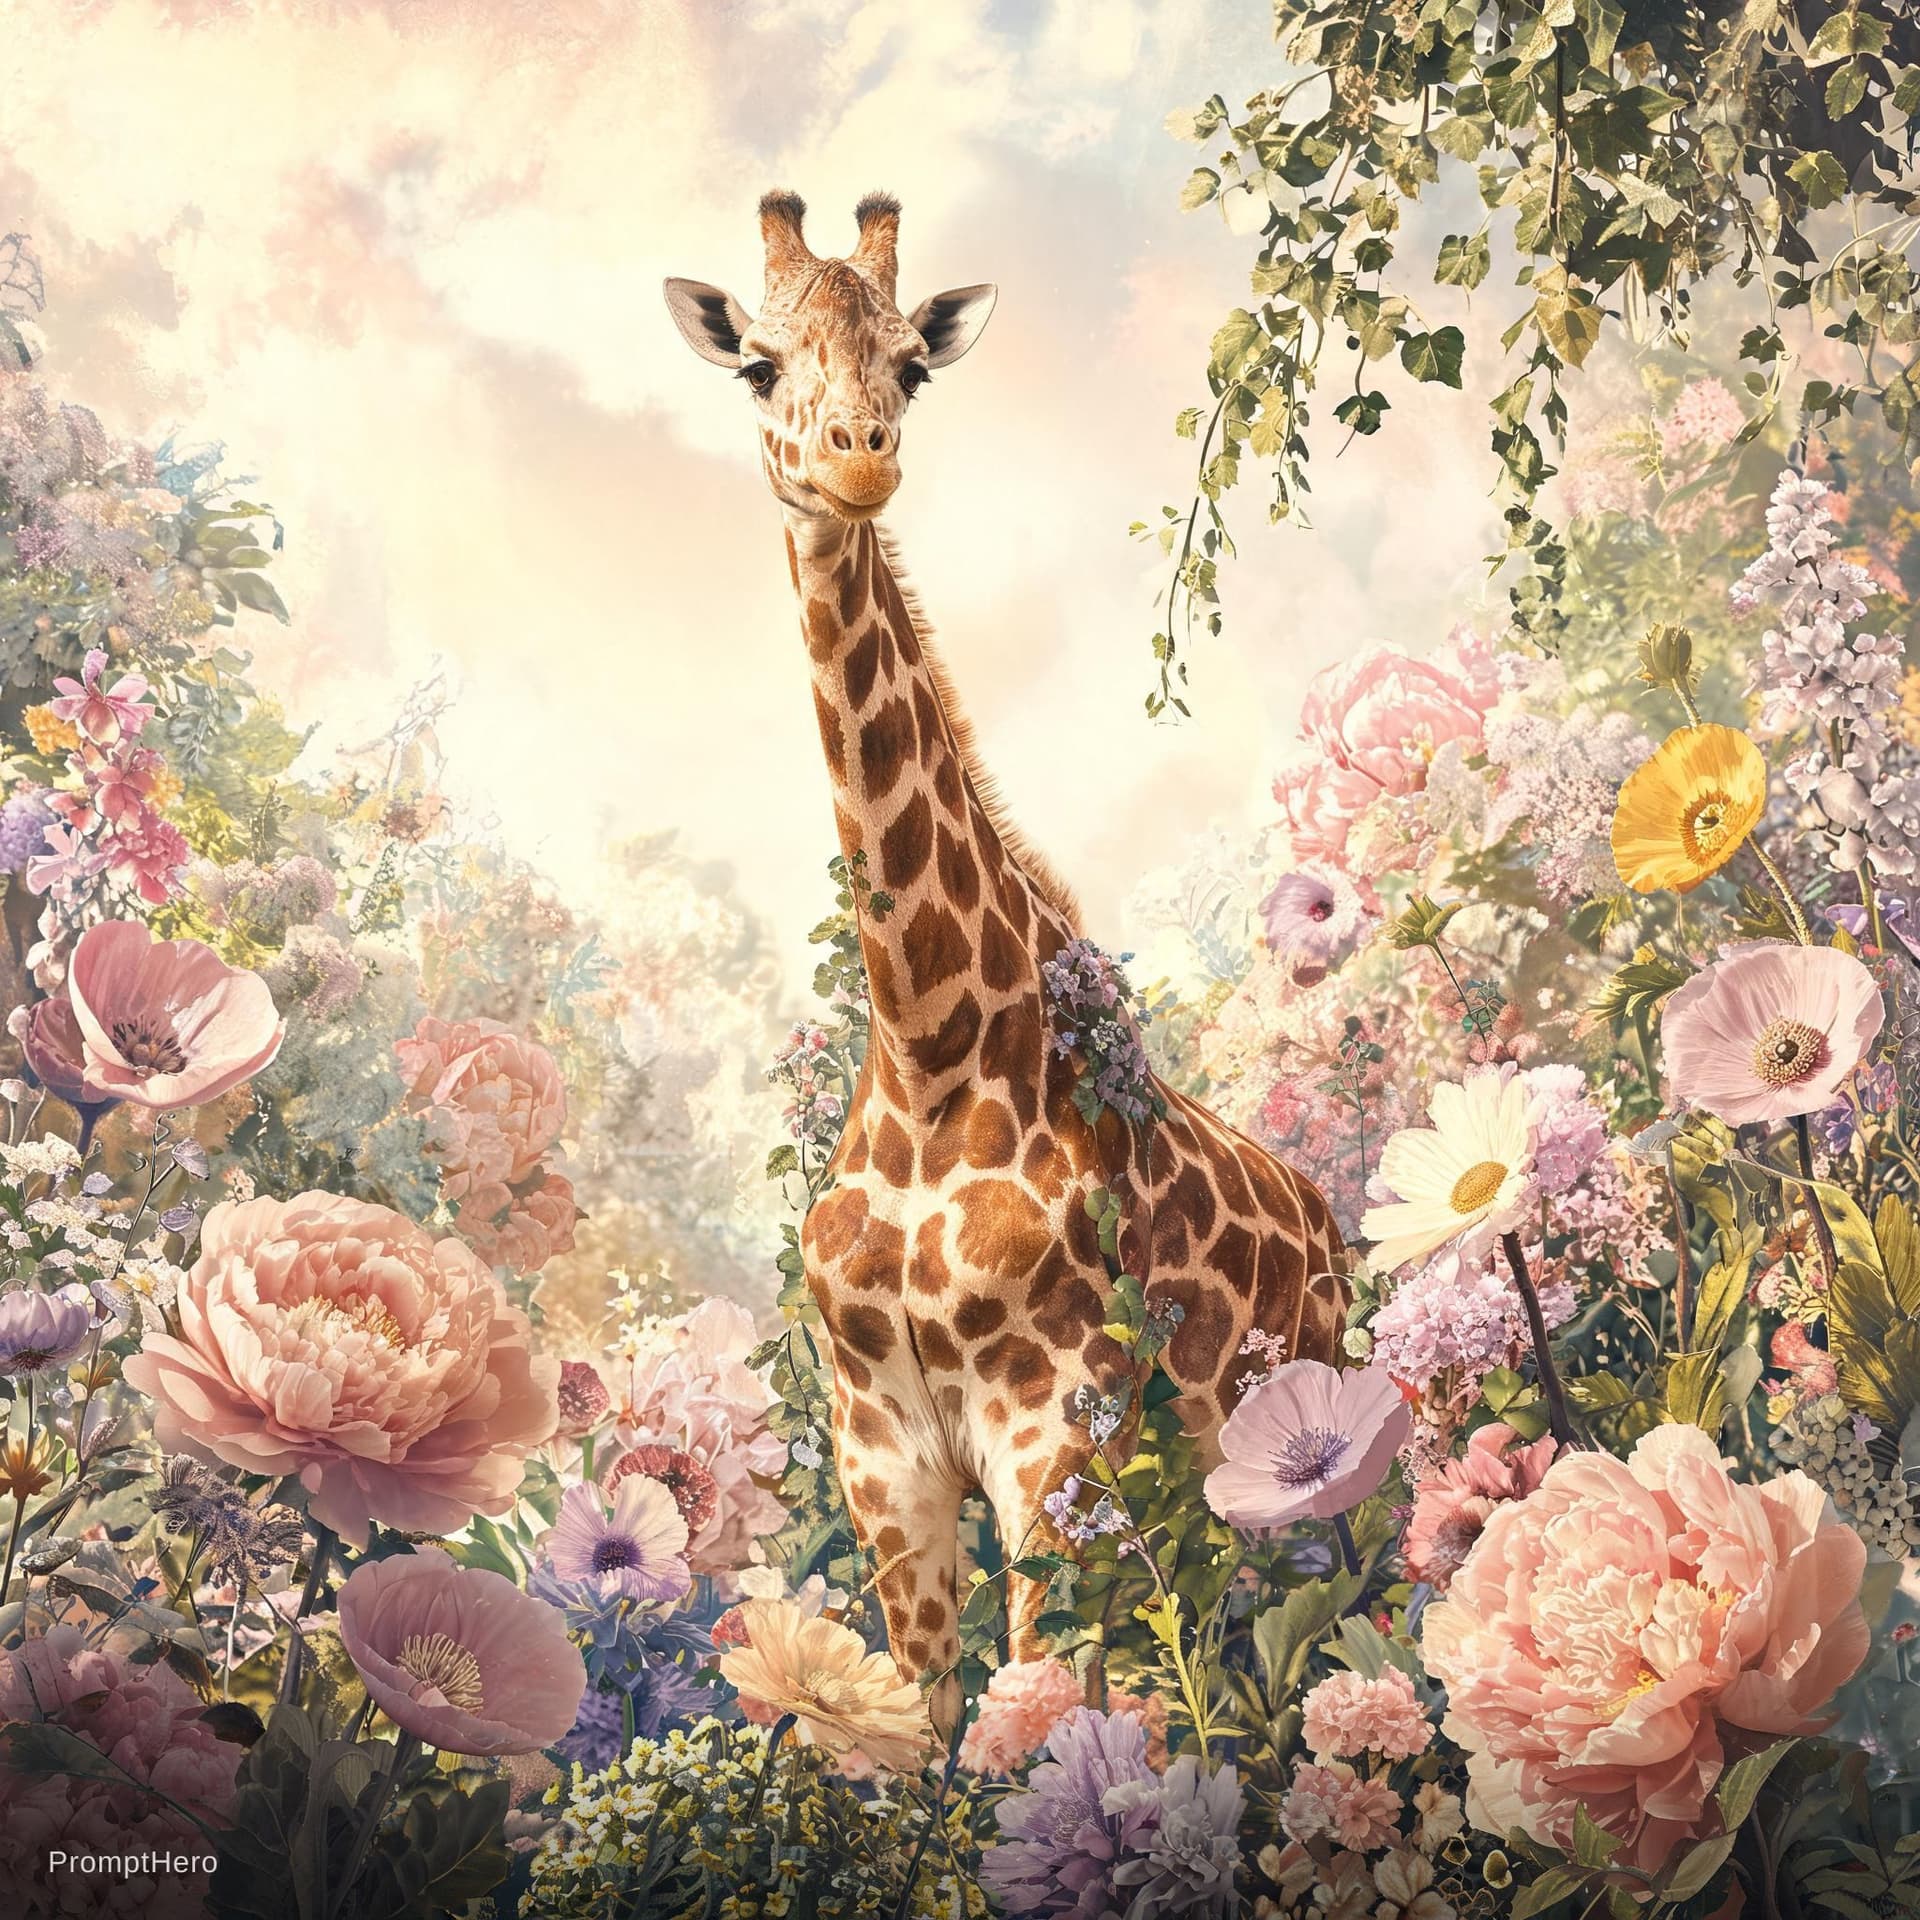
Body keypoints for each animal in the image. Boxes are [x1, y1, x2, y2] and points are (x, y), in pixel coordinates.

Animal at [665, 192, 1346, 1730]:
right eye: (758, 366)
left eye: (912, 367)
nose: (858, 459)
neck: (925, 1046)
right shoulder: (884, 1458)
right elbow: (923, 1733)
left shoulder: (1058, 1435)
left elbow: (1032, 1719)